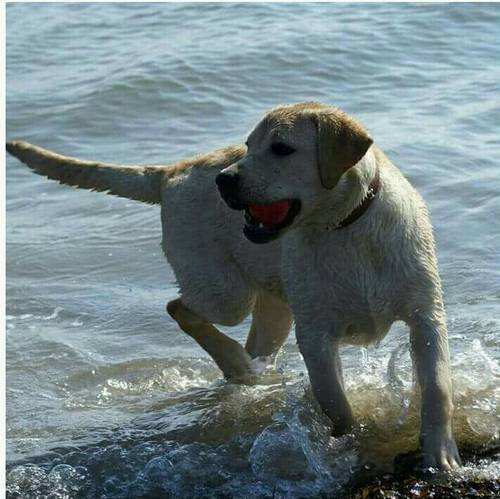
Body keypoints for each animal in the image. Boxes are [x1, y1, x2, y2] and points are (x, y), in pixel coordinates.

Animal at [6, 102, 460, 472]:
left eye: (281, 148)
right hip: (226, 295)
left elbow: (437, 387)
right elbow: (335, 402)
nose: (223, 181)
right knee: (179, 307)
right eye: (248, 146)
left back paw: (251, 375)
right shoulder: (315, 334)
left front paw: (441, 454)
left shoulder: (425, 315)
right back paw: (236, 363)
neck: (346, 227)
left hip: (275, 309)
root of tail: (172, 172)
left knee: (251, 340)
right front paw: (350, 440)